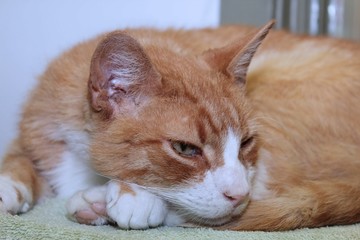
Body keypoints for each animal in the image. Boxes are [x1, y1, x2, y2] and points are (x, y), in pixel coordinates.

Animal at [0, 20, 360, 231]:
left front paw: (134, 197)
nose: (238, 194)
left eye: (246, 142)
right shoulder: (37, 132)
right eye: (186, 149)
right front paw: (8, 186)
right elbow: (17, 158)